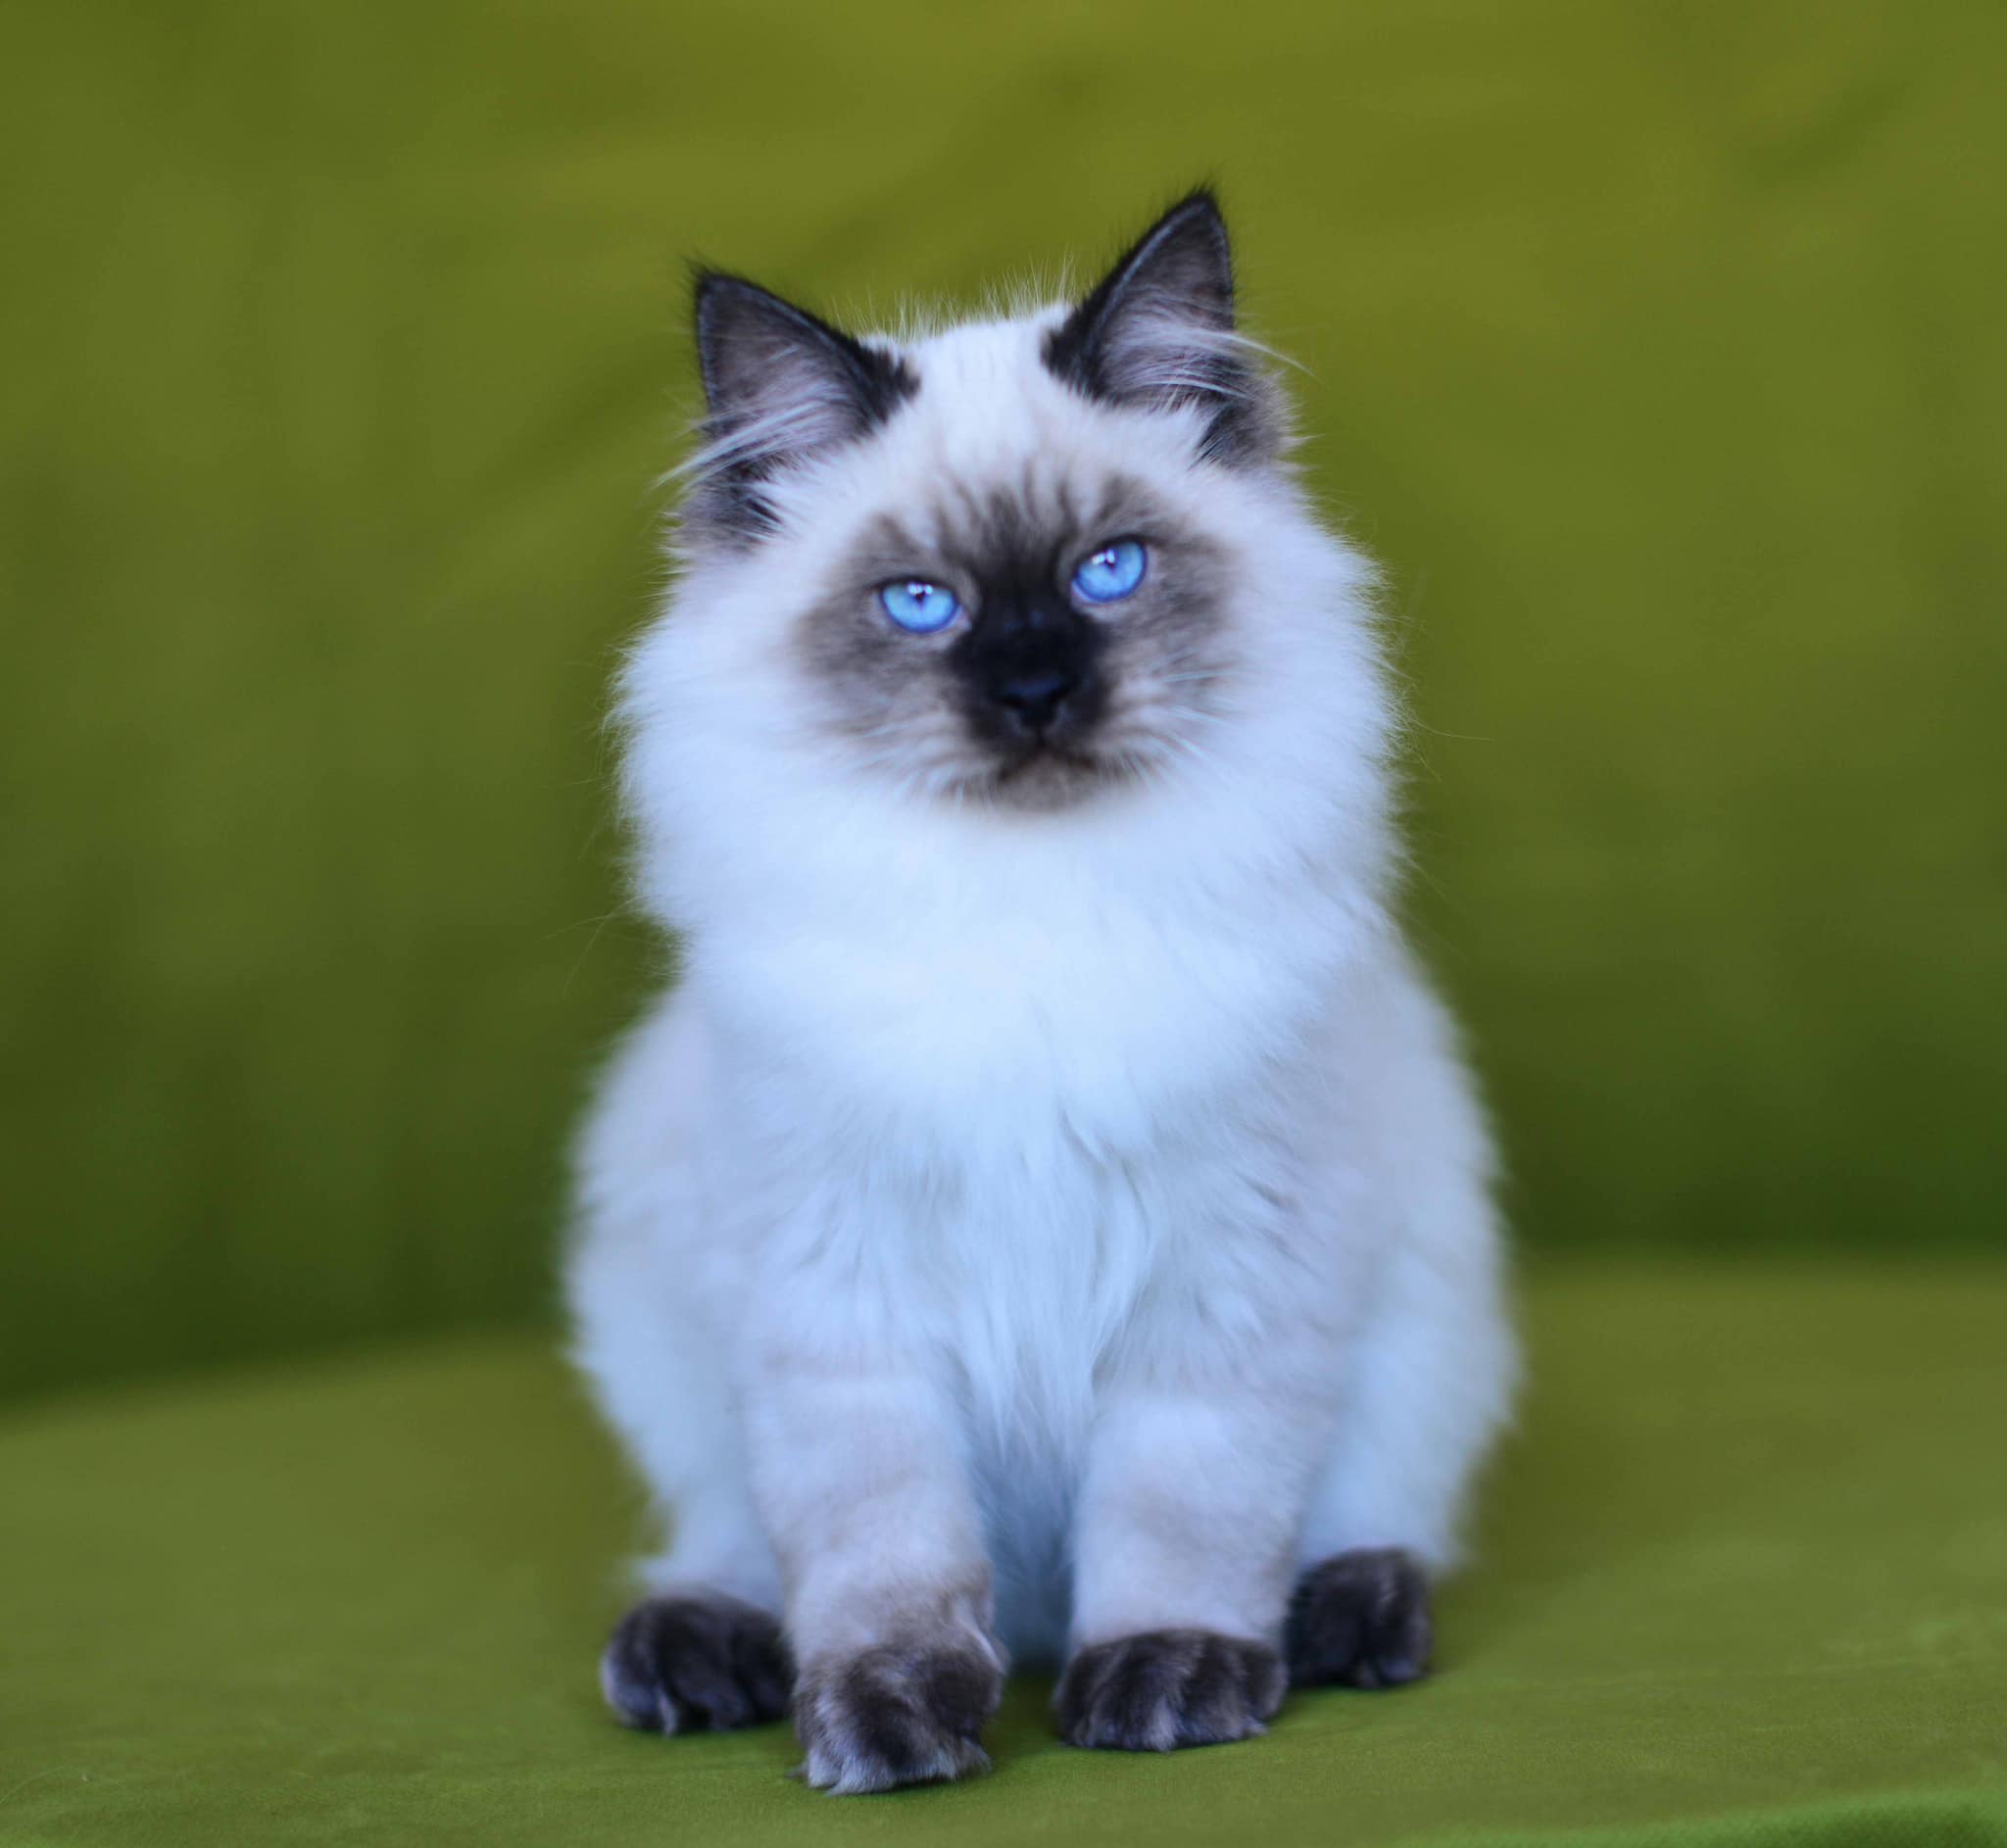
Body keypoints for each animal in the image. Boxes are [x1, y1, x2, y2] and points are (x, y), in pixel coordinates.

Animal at [562, 194, 1509, 1797]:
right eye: (920, 603)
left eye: (1103, 573)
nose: (1032, 692)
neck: (1026, 915)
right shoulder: (843, 1305)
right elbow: (882, 1564)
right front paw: (886, 1725)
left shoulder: (1220, 1277)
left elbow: (1179, 1516)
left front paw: (1167, 1684)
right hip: (669, 1334)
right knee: (733, 1542)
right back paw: (701, 1653)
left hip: (1422, 1329)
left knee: (1372, 1517)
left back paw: (1345, 1622)